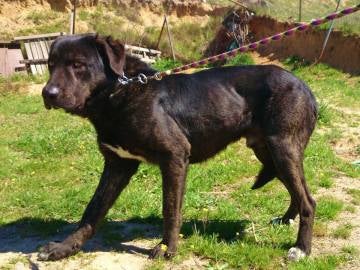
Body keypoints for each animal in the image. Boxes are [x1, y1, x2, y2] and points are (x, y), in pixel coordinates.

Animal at [39, 33, 318, 262]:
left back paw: (301, 249)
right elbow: (93, 210)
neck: (120, 93)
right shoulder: (118, 164)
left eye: (78, 65)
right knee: (299, 192)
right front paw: (64, 248)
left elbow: (170, 209)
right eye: (51, 65)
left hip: (282, 150)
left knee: (309, 201)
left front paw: (166, 249)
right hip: (269, 153)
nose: (48, 93)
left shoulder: (174, 156)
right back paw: (285, 220)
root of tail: (306, 87)